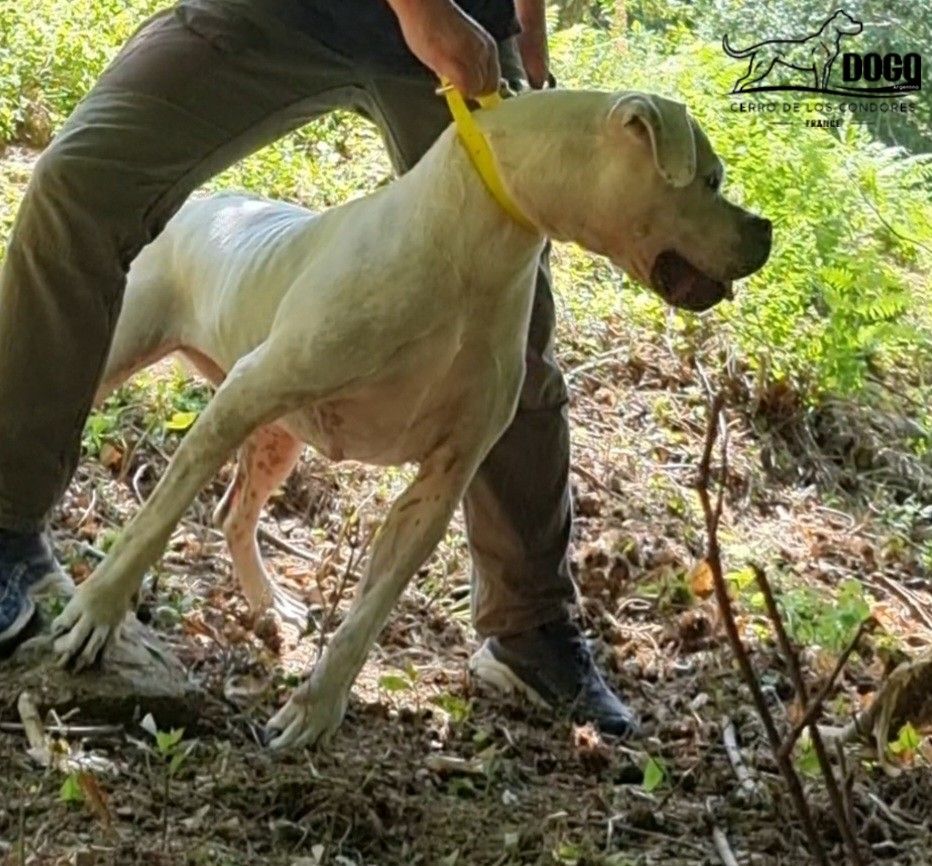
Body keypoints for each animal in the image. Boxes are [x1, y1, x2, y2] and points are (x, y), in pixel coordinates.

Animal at [54, 89, 776, 748]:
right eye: (710, 179)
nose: (765, 227)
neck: (479, 243)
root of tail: (208, 204)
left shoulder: (439, 483)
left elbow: (368, 614)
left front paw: (317, 710)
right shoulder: (249, 391)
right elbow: (151, 524)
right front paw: (98, 611)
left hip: (280, 437)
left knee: (235, 513)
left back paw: (269, 603)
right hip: (154, 367)